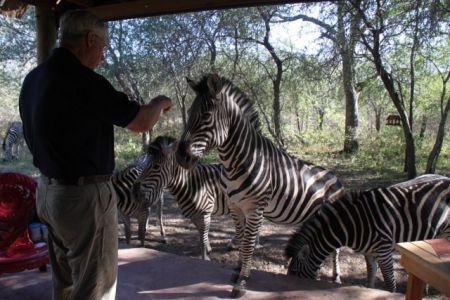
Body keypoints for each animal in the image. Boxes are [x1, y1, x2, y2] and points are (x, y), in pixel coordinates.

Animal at [176, 73, 344, 298]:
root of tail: (335, 175)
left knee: (336, 248)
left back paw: (336, 276)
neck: (236, 162)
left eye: (206, 116)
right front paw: (238, 269)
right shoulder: (235, 207)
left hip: (333, 217)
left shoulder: (255, 208)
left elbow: (248, 244)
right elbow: (240, 238)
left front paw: (241, 282)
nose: (180, 157)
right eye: (189, 113)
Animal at [284, 175, 450, 292]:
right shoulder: (369, 252)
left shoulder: (384, 250)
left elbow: (390, 284)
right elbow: (371, 278)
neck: (352, 225)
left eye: (294, 272)